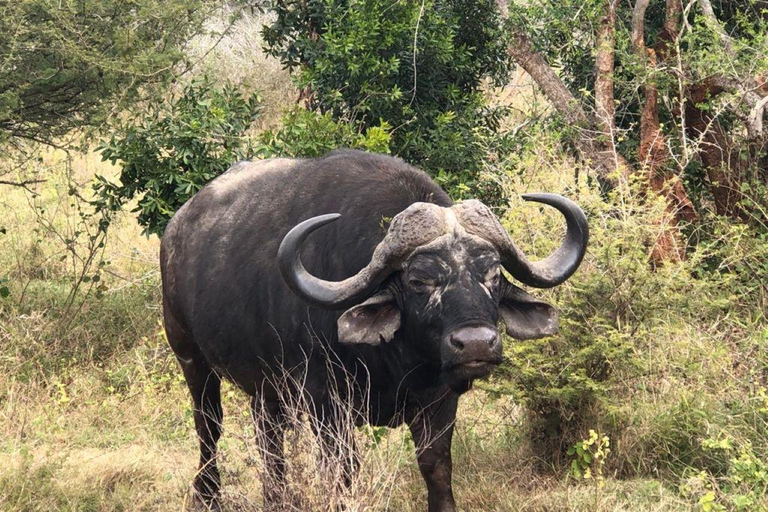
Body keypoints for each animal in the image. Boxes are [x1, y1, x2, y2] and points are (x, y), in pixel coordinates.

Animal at [162, 149, 588, 512]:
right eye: (419, 280)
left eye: (493, 275)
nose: (476, 345)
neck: (397, 359)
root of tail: (177, 228)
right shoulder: (327, 403)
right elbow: (343, 470)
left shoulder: (439, 399)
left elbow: (436, 465)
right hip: (192, 359)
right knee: (209, 427)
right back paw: (207, 495)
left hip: (266, 387)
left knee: (269, 438)